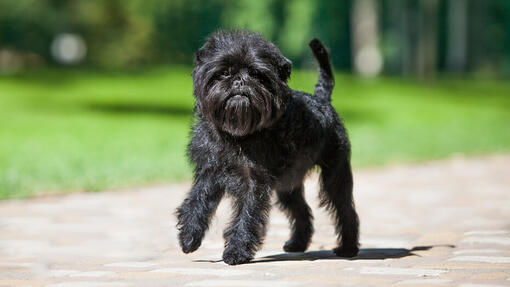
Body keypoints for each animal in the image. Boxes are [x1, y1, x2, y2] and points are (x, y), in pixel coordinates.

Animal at [177, 30, 360, 266]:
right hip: (288, 184)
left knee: (344, 208)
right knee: (301, 210)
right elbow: (197, 202)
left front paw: (236, 251)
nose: (239, 80)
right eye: (224, 73)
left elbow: (247, 214)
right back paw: (297, 244)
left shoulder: (253, 180)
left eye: (256, 74)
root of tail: (321, 98)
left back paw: (348, 248)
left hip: (334, 173)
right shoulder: (209, 171)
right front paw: (189, 236)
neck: (237, 135)